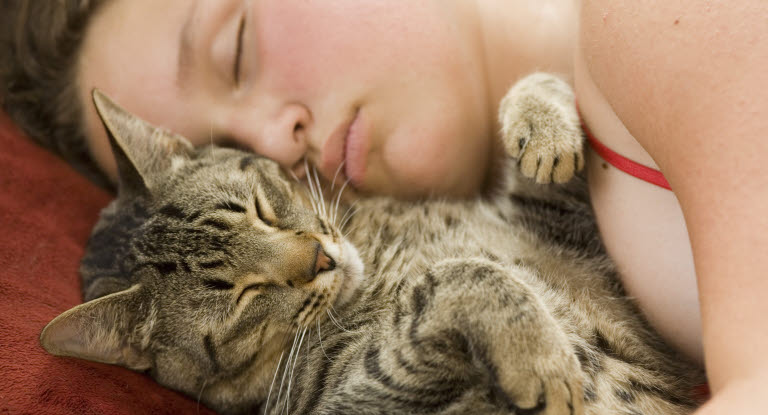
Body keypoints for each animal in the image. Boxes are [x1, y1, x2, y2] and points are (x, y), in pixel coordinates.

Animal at [40, 75, 704, 415]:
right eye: (242, 296)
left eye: (259, 207)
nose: (322, 259)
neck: (383, 251)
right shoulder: (363, 394)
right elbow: (464, 274)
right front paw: (541, 359)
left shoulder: (563, 228)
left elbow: (533, 84)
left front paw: (543, 129)